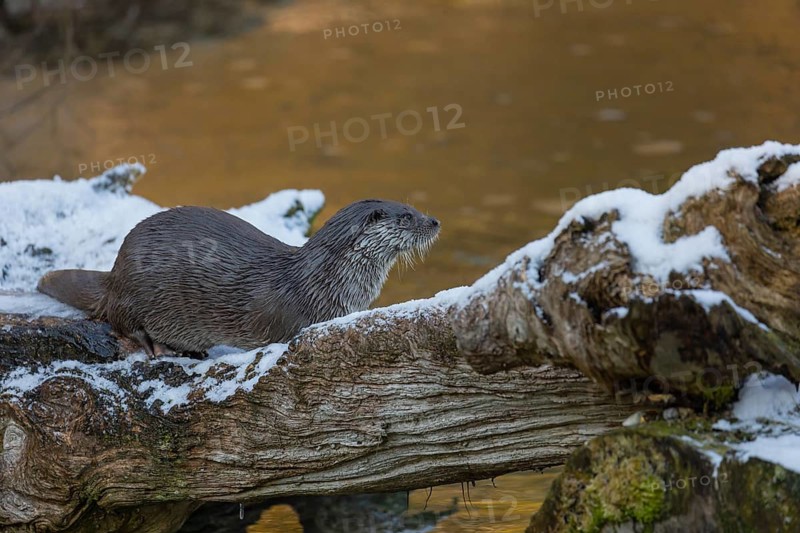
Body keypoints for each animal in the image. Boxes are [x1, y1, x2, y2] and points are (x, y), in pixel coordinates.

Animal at [38, 200, 440, 356]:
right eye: (406, 216)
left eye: (414, 208)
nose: (435, 220)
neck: (324, 281)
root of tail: (114, 273)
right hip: (135, 291)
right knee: (120, 322)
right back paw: (157, 345)